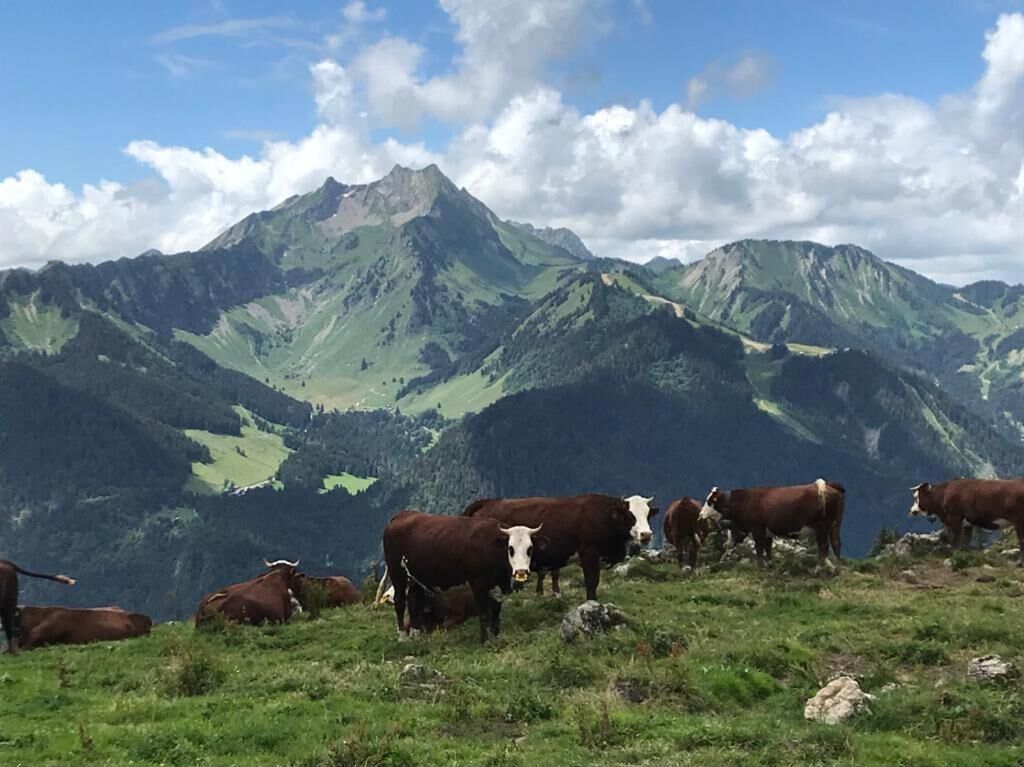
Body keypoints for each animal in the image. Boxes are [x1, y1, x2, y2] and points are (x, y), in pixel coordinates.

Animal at [382, 510, 544, 643]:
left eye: (530, 548)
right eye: (510, 549)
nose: (521, 571)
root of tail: (403, 515)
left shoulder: (497, 588)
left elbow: (496, 613)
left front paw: (495, 637)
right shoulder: (478, 584)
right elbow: (484, 613)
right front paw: (484, 640)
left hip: (416, 578)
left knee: (414, 602)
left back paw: (416, 636)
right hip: (397, 573)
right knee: (400, 602)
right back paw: (402, 638)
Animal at [463, 494, 658, 601]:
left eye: (648, 514)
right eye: (630, 515)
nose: (646, 534)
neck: (603, 516)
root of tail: (489, 503)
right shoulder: (589, 553)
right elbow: (592, 582)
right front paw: (592, 602)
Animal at [698, 479, 845, 567]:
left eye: (710, 501)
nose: (700, 515)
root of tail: (828, 485)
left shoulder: (757, 528)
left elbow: (759, 548)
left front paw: (760, 565)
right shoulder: (764, 531)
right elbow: (767, 548)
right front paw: (769, 564)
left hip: (822, 527)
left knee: (824, 546)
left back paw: (819, 569)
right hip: (835, 526)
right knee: (836, 544)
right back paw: (837, 568)